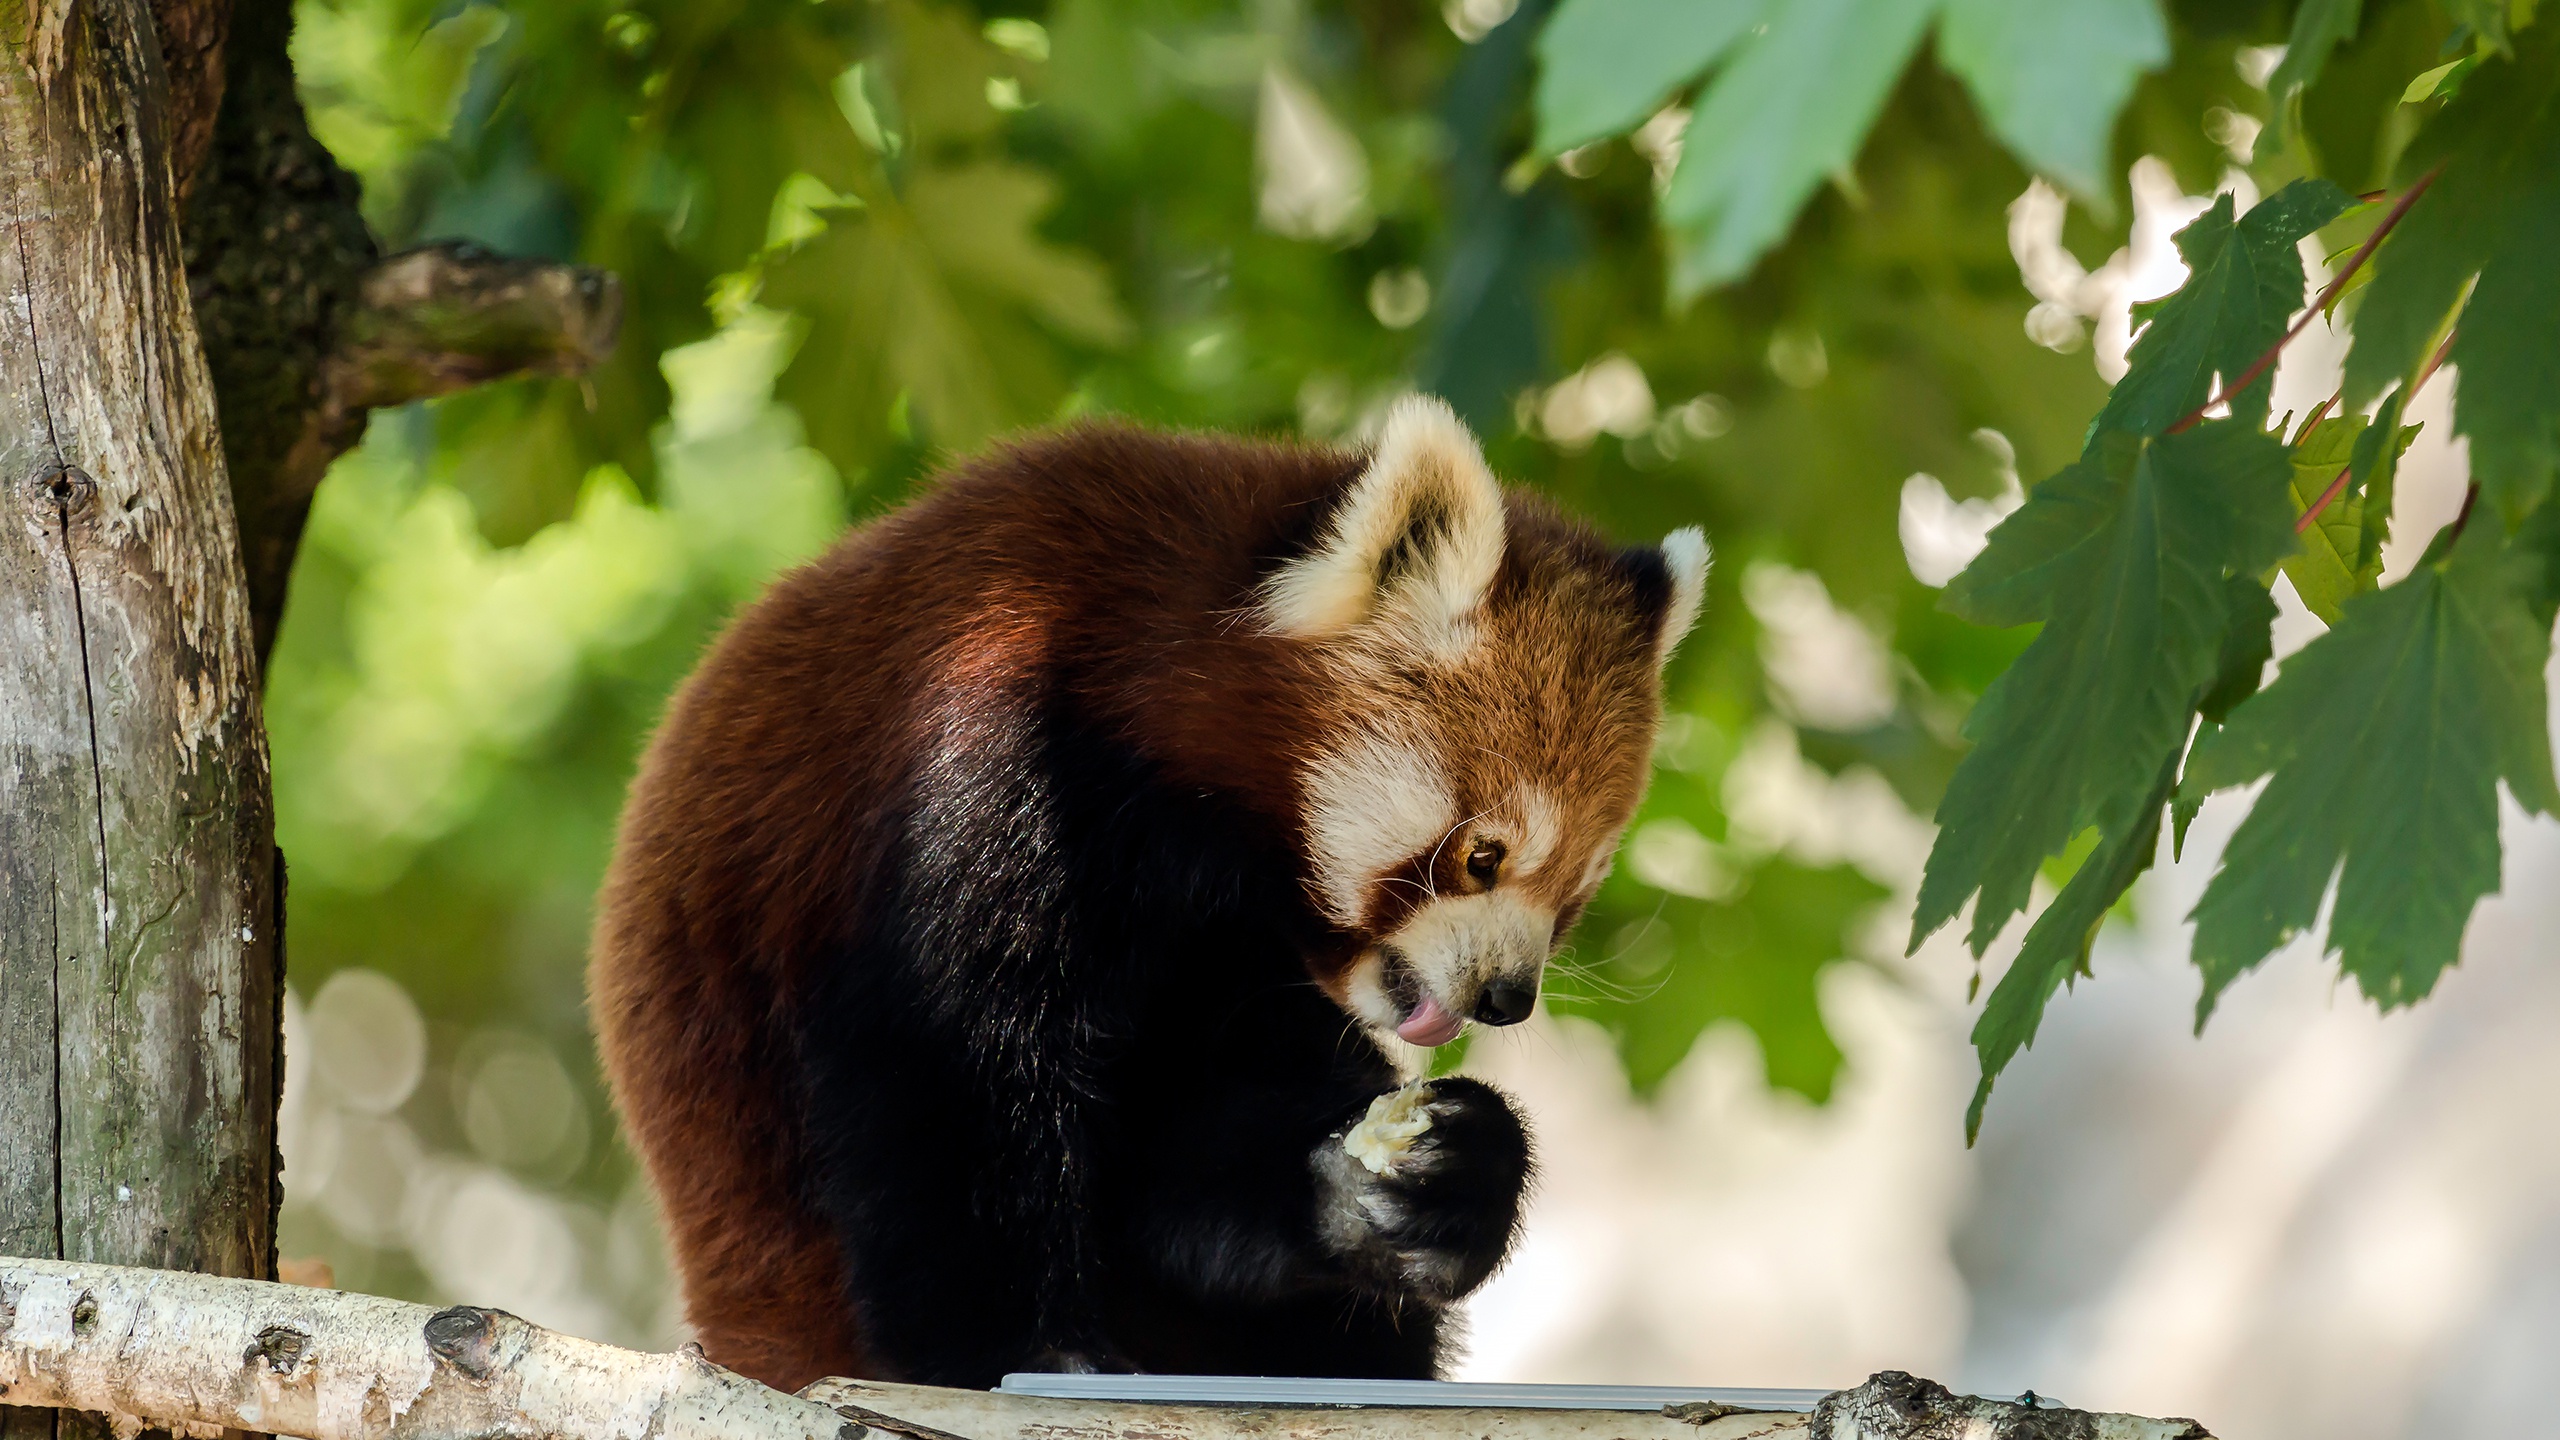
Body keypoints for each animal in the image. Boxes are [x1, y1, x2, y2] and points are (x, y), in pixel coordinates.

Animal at [591, 397, 1710, 1383]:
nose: (1505, 998)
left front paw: (1416, 1177)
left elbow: (1183, 1135)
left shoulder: (1221, 941)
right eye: (1482, 856)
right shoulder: (974, 733)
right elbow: (941, 1069)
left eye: (1575, 892)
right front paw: (1022, 1351)